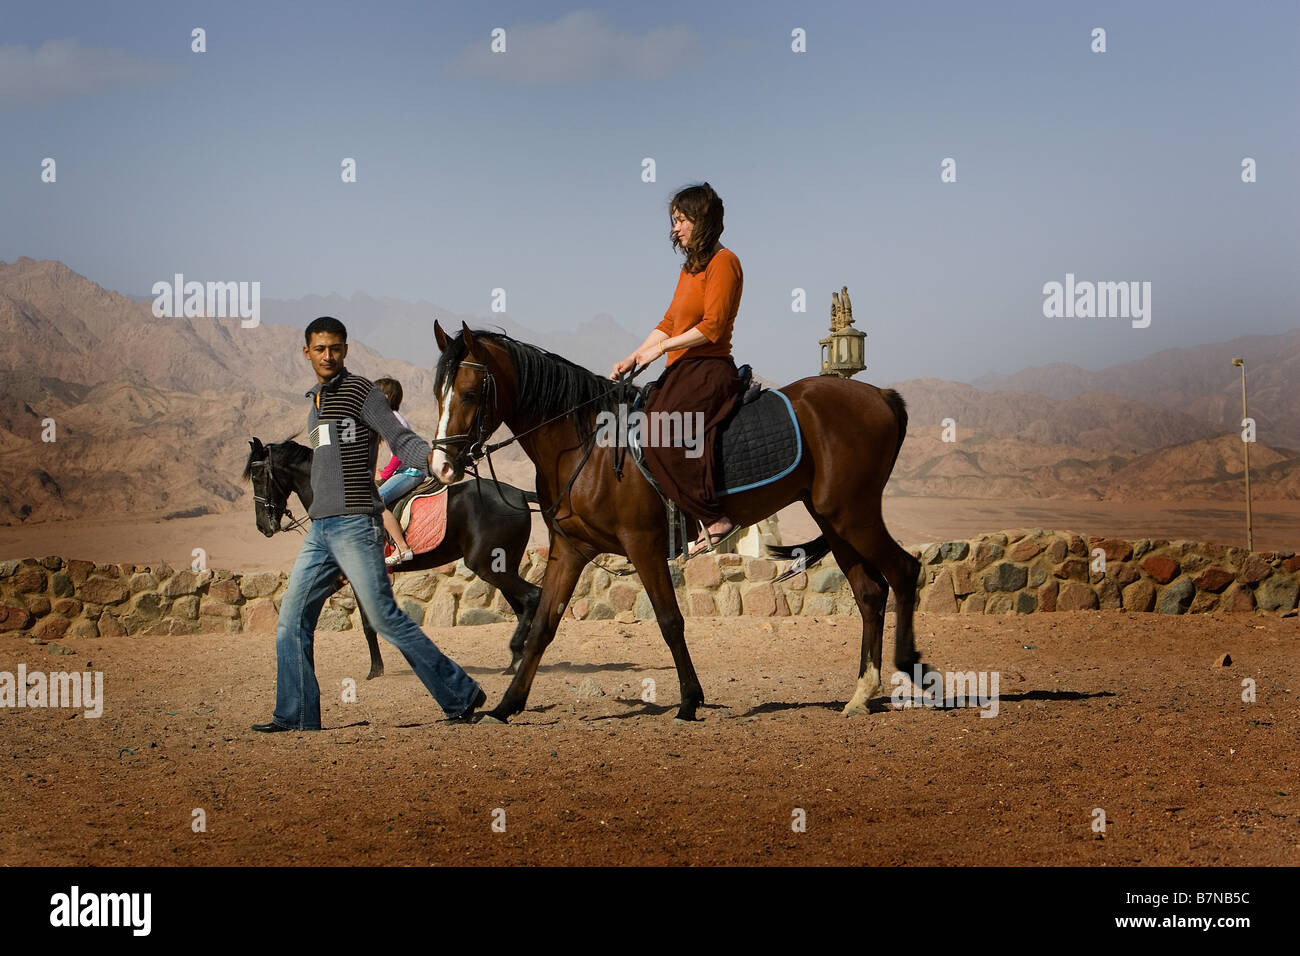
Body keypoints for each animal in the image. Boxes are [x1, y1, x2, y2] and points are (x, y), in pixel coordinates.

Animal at [241, 437, 542, 676]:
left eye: (257, 478)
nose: (262, 526)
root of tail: (518, 494)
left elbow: (368, 623)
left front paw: (375, 671)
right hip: (504, 565)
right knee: (521, 606)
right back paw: (517, 660)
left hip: (488, 566)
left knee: (532, 596)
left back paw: (517, 653)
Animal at [428, 320, 924, 723]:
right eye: (438, 395)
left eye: (470, 393)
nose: (443, 467)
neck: (588, 447)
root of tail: (879, 395)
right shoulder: (570, 549)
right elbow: (543, 625)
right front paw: (507, 705)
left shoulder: (643, 544)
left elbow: (670, 620)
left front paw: (689, 701)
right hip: (835, 520)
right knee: (870, 593)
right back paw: (862, 694)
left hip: (854, 514)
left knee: (904, 571)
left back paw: (911, 667)